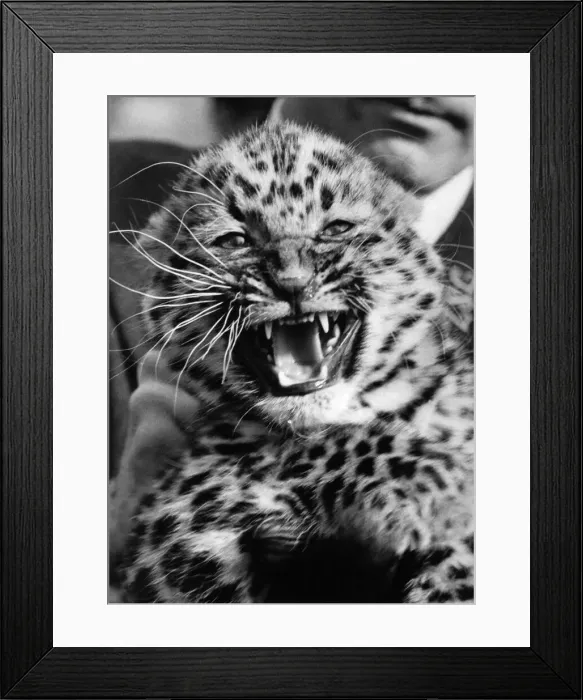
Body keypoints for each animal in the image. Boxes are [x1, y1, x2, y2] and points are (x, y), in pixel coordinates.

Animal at [109, 121, 474, 603]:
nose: (293, 283)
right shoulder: (176, 521)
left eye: (337, 228)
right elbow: (300, 446)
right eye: (235, 240)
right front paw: (435, 479)